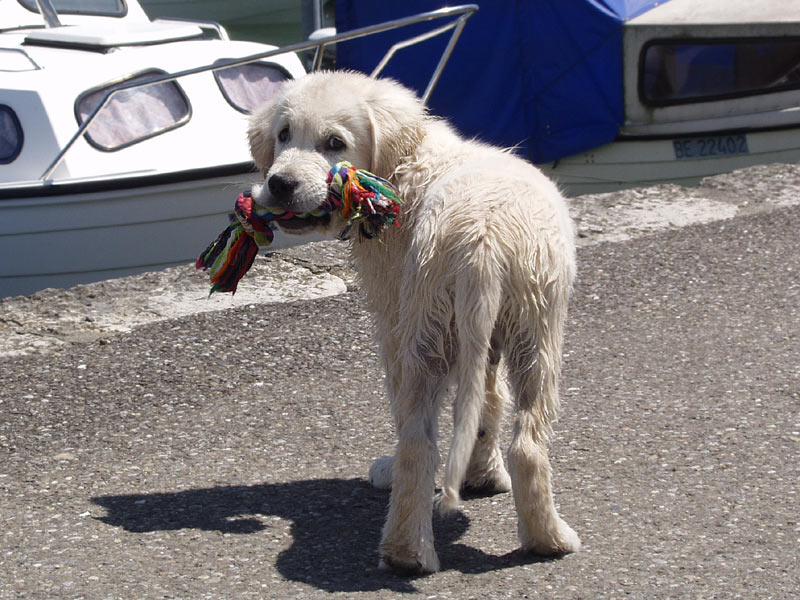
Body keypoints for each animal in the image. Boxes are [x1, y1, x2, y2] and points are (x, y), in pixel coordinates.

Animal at [247, 70, 580, 572]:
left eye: (334, 143)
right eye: (284, 134)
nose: (280, 183)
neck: (404, 167)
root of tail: (483, 240)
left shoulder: (392, 316)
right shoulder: (482, 338)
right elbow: (487, 400)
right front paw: (484, 474)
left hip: (432, 326)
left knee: (418, 442)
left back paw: (408, 548)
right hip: (533, 325)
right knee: (524, 441)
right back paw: (544, 540)